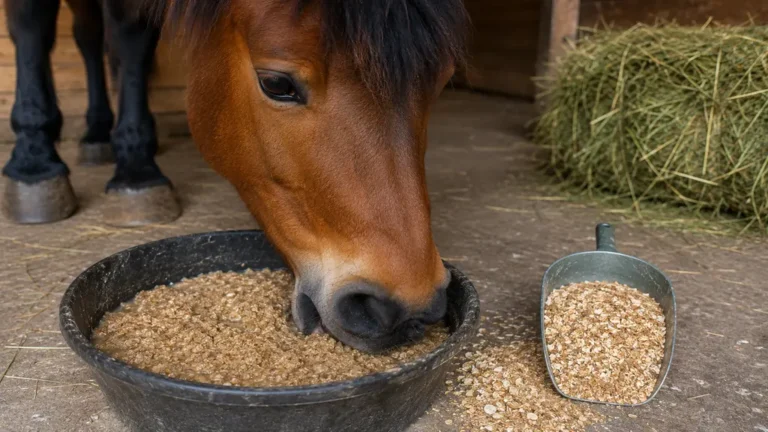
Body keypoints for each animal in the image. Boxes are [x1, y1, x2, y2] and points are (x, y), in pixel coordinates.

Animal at [3, 0, 470, 353]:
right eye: (276, 83)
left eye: (443, 80)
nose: (407, 309)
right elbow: (31, 23)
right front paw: (35, 166)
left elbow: (130, 35)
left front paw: (136, 167)